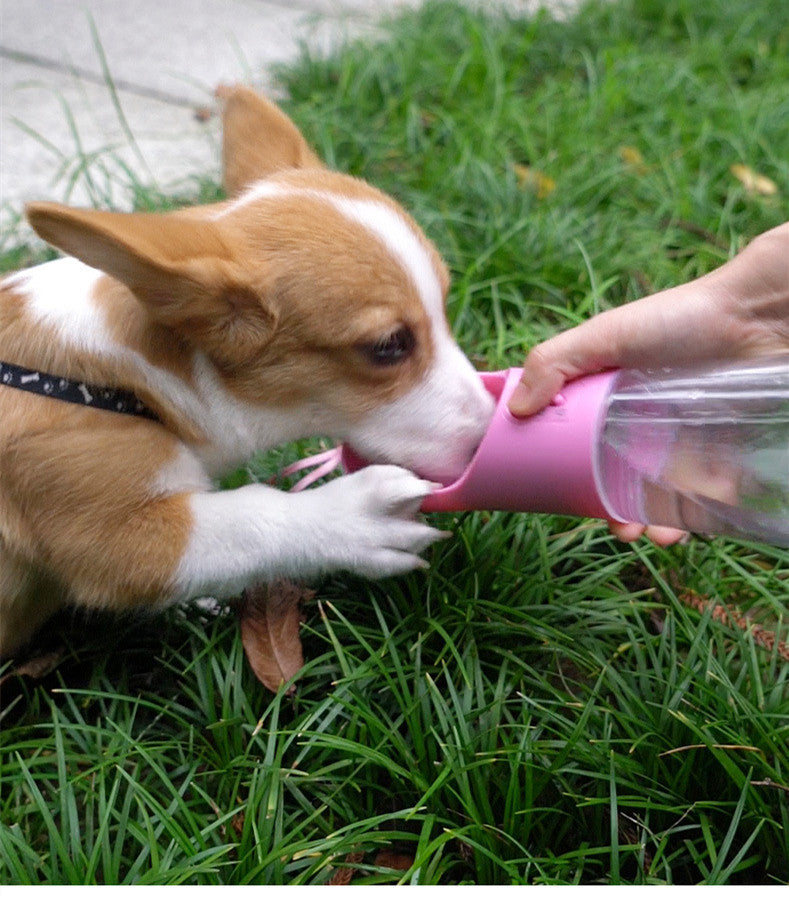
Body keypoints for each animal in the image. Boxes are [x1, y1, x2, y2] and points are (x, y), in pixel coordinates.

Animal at [0, 87, 492, 656]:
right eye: (388, 345)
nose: (493, 438)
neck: (125, 383)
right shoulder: (113, 534)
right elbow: (246, 518)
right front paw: (352, 518)